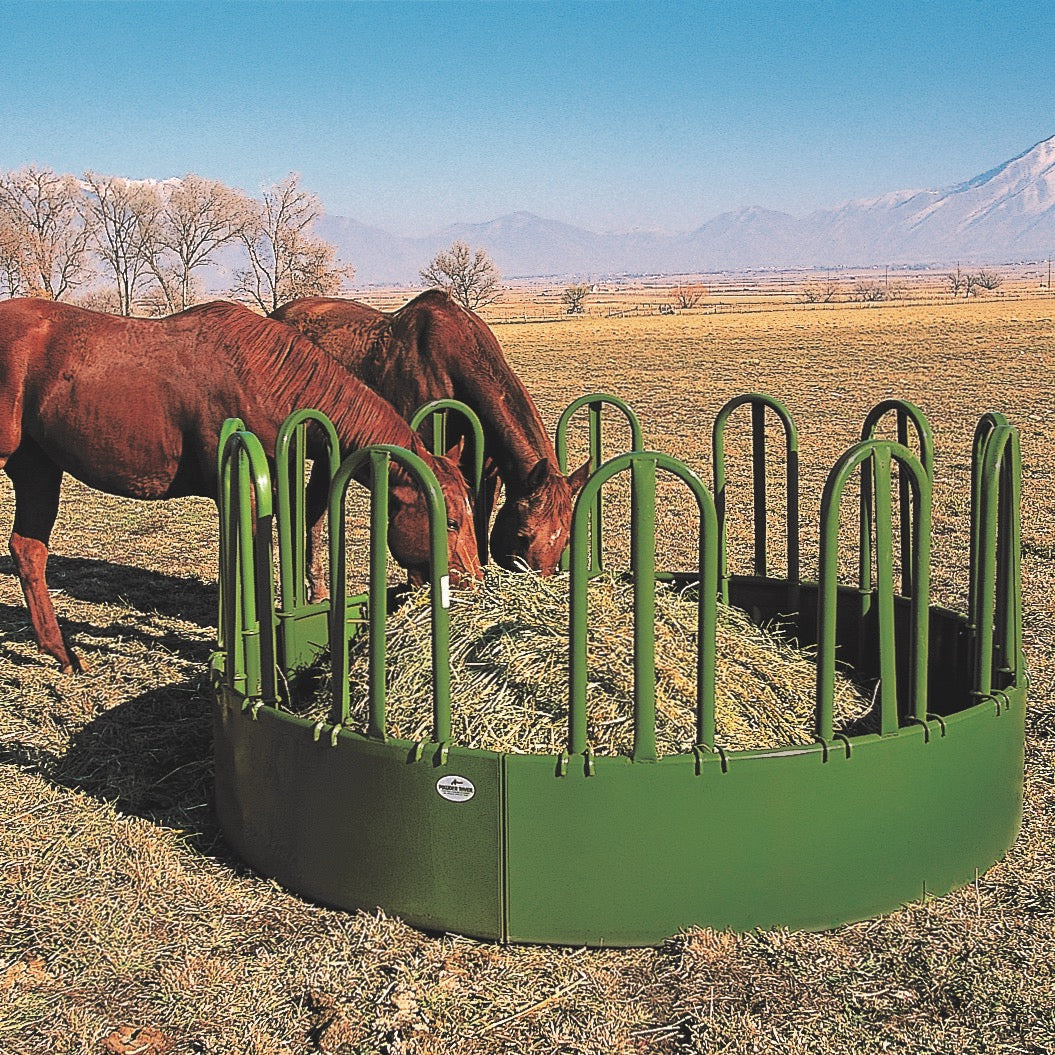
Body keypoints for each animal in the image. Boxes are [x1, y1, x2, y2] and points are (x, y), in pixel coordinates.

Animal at [0, 298, 481, 672]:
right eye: (451, 522)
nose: (475, 585)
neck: (265, 379)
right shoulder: (243, 490)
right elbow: (247, 564)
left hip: (38, 470)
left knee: (28, 551)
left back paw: (62, 653)